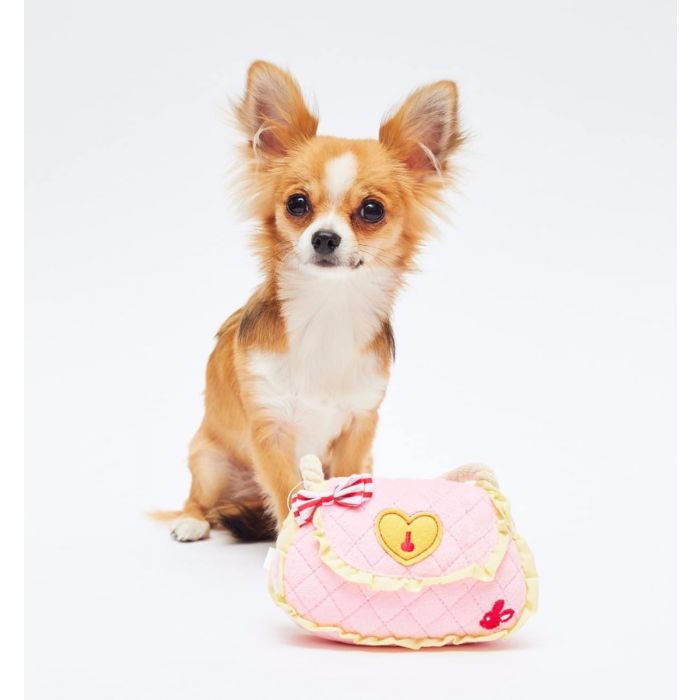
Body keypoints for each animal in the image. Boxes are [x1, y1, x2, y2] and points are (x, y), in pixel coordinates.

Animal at [161, 61, 462, 540]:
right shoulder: (269, 428)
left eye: (372, 210)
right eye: (297, 203)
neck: (328, 310)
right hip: (209, 459)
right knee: (198, 496)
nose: (324, 237)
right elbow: (287, 491)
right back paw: (191, 521)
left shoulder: (359, 427)